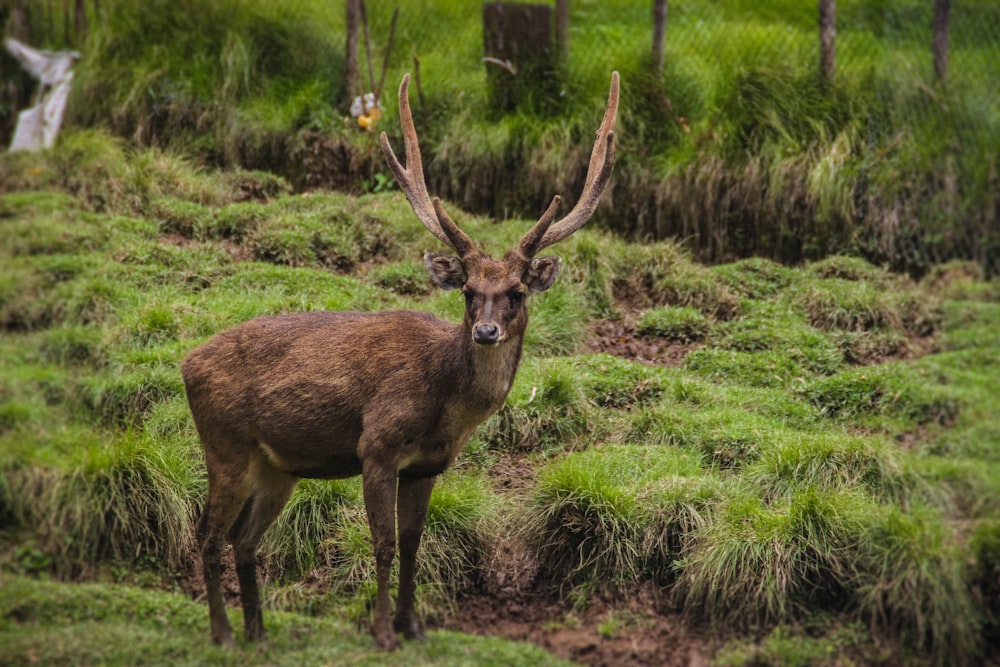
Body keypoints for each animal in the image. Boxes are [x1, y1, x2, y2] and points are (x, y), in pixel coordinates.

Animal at [180, 70, 616, 648]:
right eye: (468, 291)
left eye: (518, 291)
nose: (486, 331)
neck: (445, 408)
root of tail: (186, 365)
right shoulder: (377, 446)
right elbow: (383, 544)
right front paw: (384, 629)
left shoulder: (426, 466)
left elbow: (413, 544)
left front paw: (414, 625)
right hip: (224, 444)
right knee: (208, 535)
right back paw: (223, 633)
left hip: (277, 467)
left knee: (243, 540)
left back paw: (258, 632)